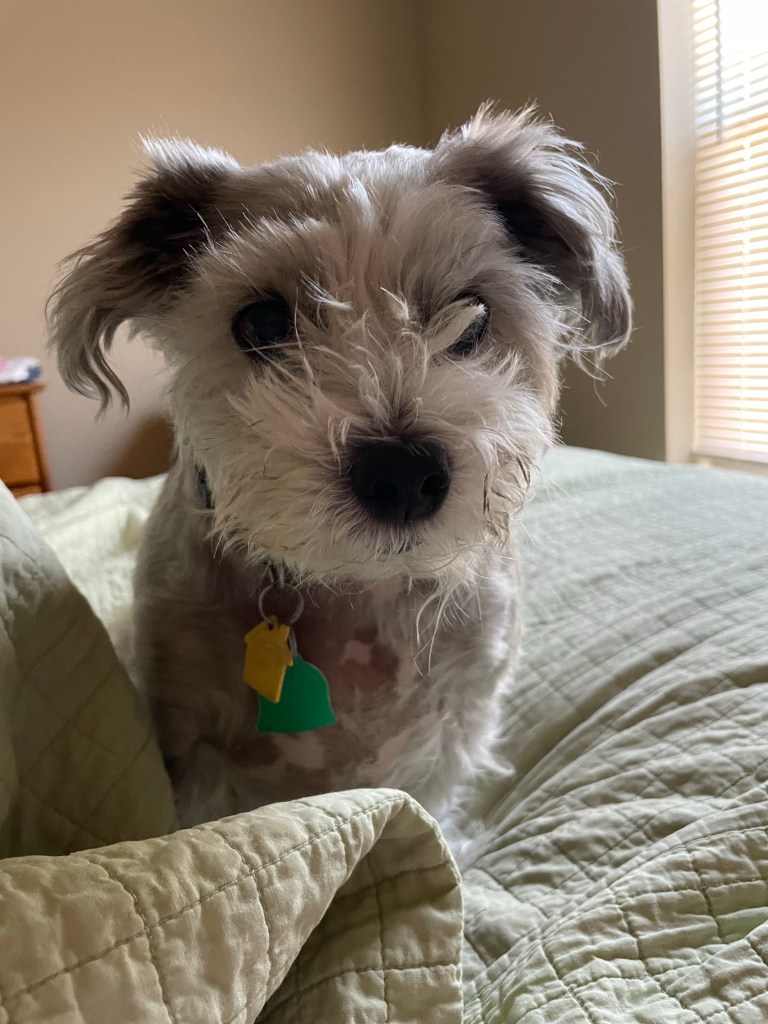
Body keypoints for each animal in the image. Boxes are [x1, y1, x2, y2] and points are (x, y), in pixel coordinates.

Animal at [48, 106, 631, 831]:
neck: (352, 587)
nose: (402, 474)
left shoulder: (449, 732)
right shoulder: (187, 741)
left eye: (472, 315)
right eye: (262, 323)